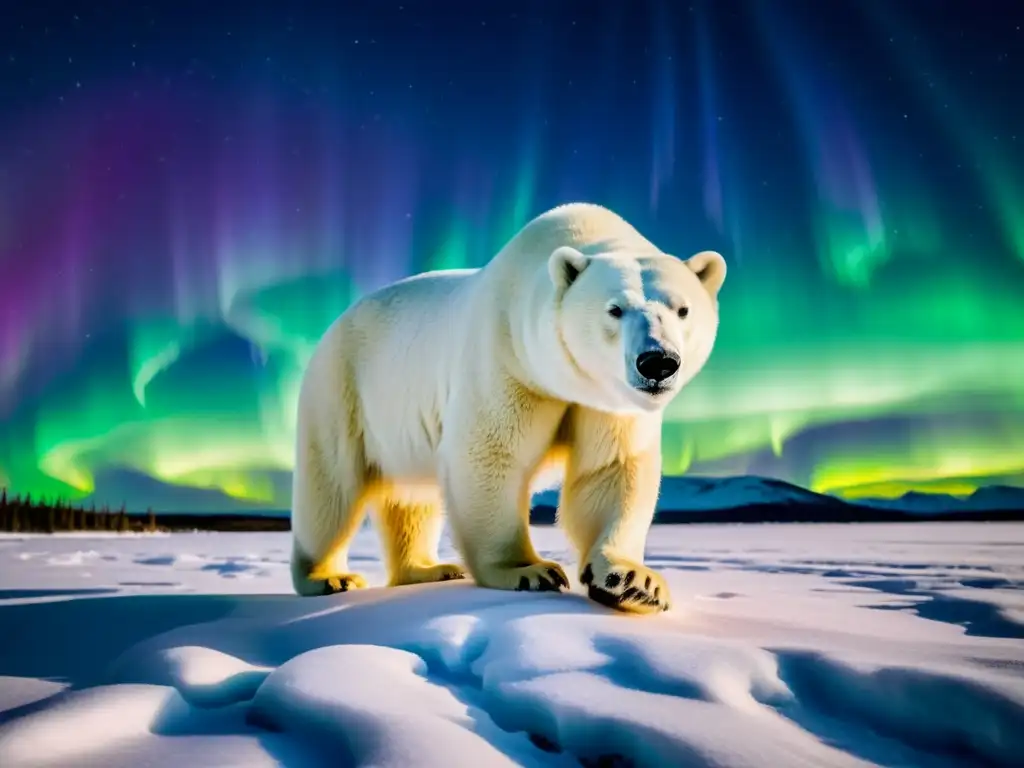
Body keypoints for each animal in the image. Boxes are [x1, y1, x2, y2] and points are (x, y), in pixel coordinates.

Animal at [289, 202, 726, 614]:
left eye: (683, 309)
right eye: (615, 310)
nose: (658, 362)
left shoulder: (609, 402)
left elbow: (610, 469)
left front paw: (634, 582)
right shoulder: (507, 363)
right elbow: (490, 455)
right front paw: (529, 571)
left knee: (411, 496)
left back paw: (427, 569)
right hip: (344, 390)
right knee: (330, 488)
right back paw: (328, 578)